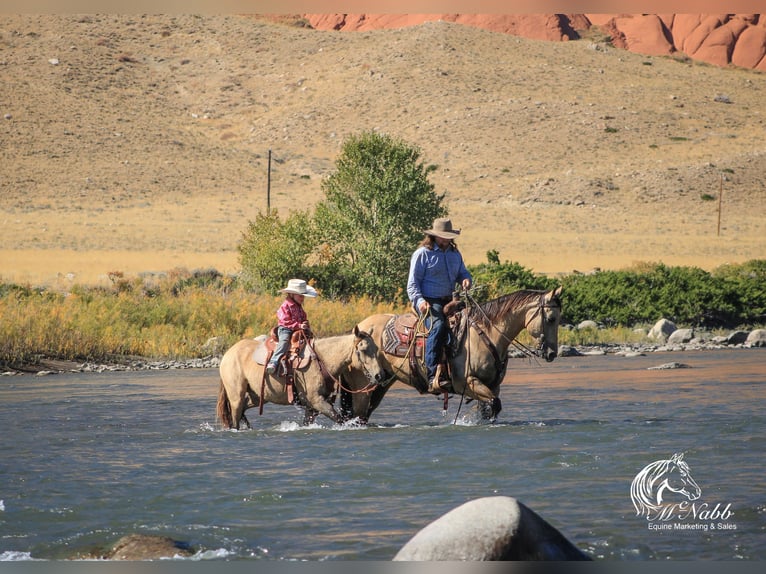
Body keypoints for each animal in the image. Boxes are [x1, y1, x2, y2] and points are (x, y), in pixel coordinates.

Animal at [216, 328, 388, 432]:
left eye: (376, 349)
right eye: (363, 349)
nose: (379, 375)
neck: (322, 360)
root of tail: (228, 354)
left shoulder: (312, 406)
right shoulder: (317, 400)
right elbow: (339, 419)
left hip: (256, 396)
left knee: (242, 410)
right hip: (236, 395)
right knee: (235, 415)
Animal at [340, 290, 564, 426]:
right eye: (551, 318)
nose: (552, 353)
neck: (485, 333)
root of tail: (359, 329)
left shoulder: (493, 385)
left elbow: (490, 408)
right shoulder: (468, 382)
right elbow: (493, 404)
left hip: (382, 383)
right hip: (363, 384)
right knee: (358, 412)